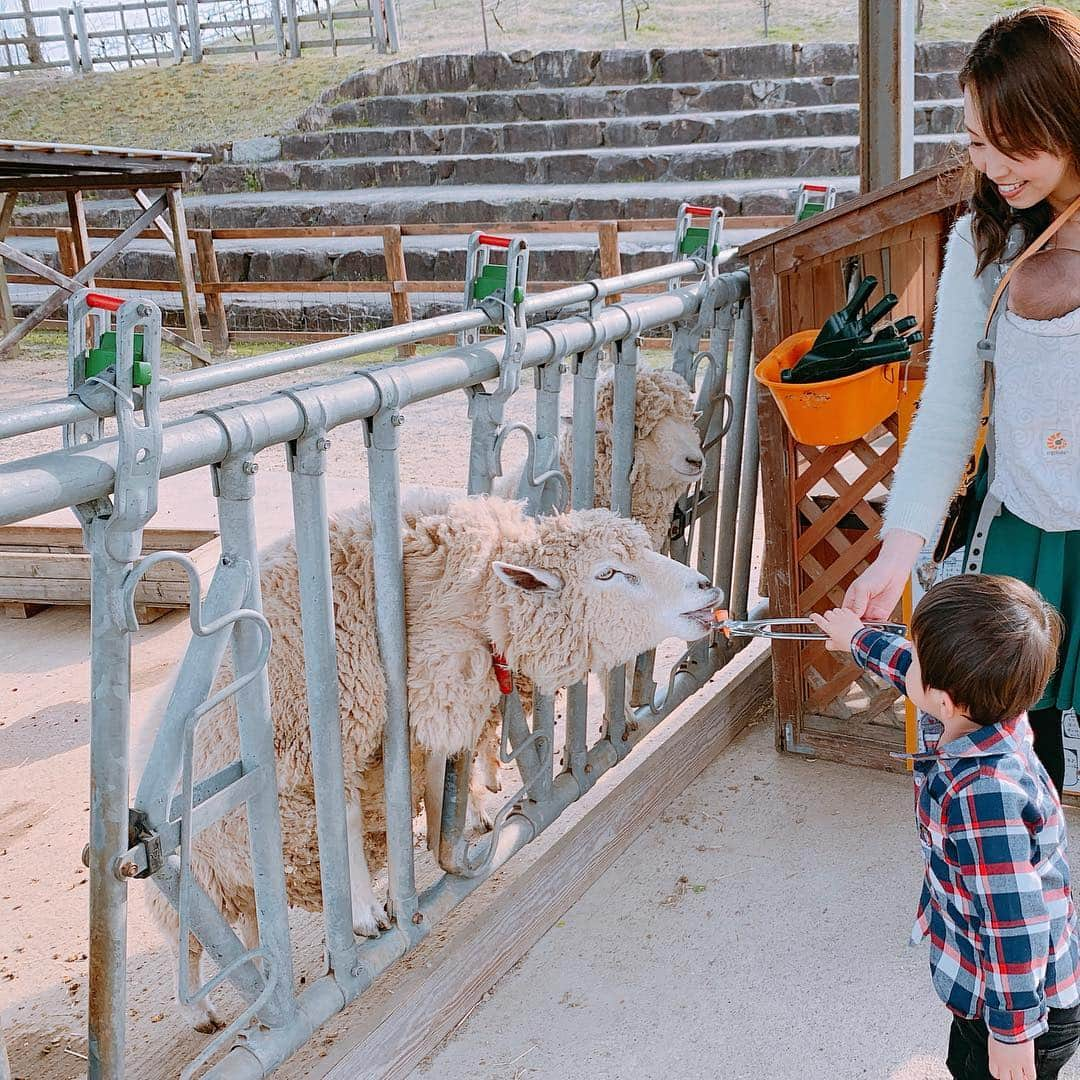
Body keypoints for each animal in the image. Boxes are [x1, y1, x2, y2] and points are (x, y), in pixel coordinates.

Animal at [141, 488, 717, 1028]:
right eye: (608, 573)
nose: (708, 587)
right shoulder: (330, 736)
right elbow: (345, 819)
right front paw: (365, 911)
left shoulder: (421, 719)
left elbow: (434, 786)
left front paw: (436, 864)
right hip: (200, 871)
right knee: (189, 941)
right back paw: (202, 1011)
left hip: (244, 864)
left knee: (251, 923)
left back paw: (262, 973)